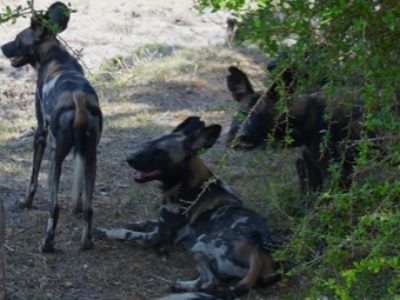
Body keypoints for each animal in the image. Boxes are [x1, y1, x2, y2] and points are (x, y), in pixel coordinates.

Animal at [0, 1, 103, 251]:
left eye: (18, 38)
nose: (2, 47)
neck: (53, 54)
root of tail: (78, 98)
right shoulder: (81, 153)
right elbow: (80, 190)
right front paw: (76, 207)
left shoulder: (41, 133)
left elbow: (32, 178)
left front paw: (26, 202)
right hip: (91, 155)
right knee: (89, 208)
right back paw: (86, 242)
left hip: (55, 156)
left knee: (53, 207)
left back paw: (47, 243)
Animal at [95, 116, 280, 298]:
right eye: (149, 143)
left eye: (161, 152)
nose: (129, 158)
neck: (188, 184)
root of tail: (258, 252)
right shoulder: (162, 224)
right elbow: (145, 222)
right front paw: (134, 223)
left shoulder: (155, 238)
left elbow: (122, 232)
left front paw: (104, 231)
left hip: (198, 246)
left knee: (209, 281)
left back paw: (180, 285)